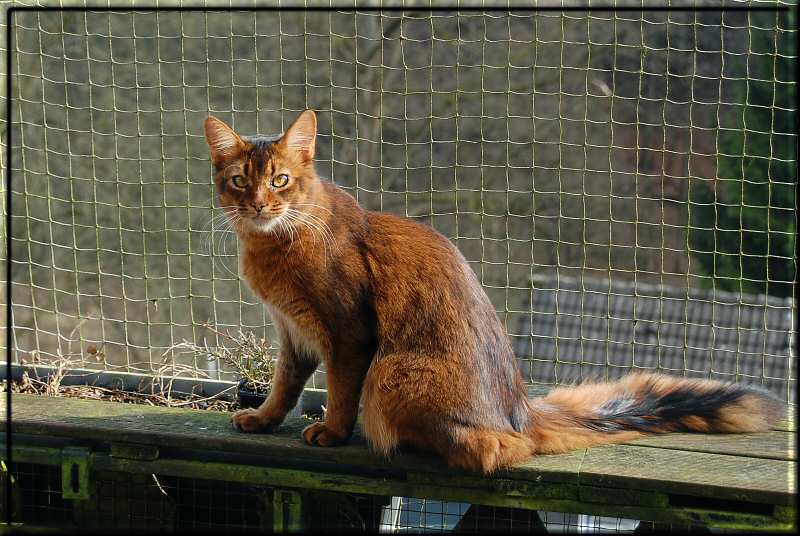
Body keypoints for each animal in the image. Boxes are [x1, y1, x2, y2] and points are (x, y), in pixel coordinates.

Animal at [203, 109, 784, 474]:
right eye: (239, 181)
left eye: (279, 181)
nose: (258, 204)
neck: (275, 242)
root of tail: (520, 411)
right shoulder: (293, 332)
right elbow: (284, 385)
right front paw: (264, 419)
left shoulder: (348, 334)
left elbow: (342, 391)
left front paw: (332, 432)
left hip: (393, 372)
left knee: (490, 451)